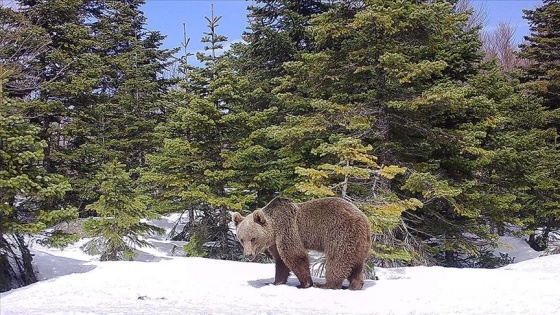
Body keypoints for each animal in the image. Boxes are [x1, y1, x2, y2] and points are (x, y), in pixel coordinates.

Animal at [232, 198, 372, 292]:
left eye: (253, 238)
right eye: (241, 239)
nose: (248, 255)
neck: (274, 230)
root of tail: (365, 220)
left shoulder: (287, 229)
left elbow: (295, 255)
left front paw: (305, 283)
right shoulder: (276, 242)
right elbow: (281, 262)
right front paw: (275, 282)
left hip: (341, 234)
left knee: (337, 260)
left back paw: (326, 284)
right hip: (360, 244)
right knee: (356, 264)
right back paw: (355, 284)